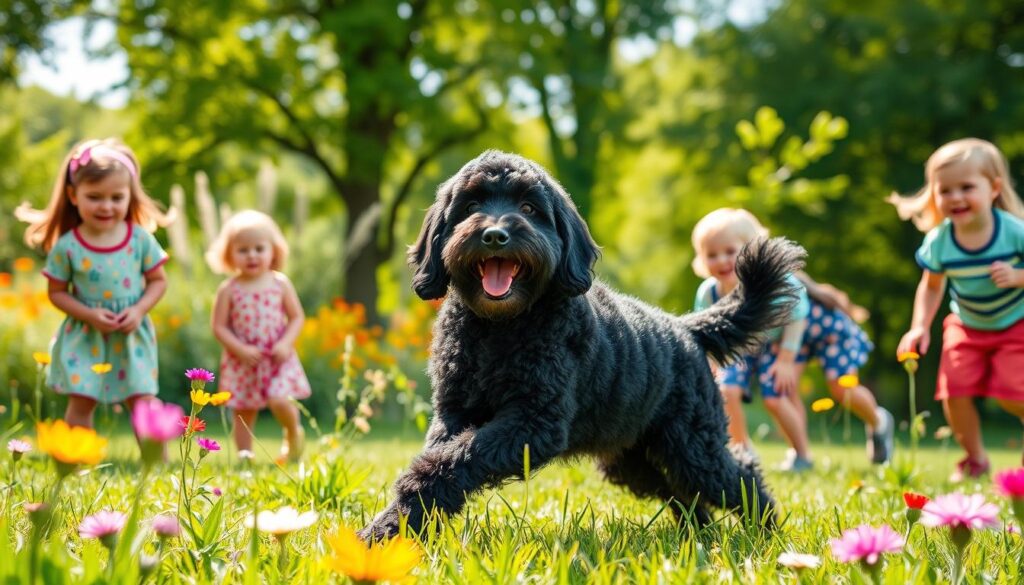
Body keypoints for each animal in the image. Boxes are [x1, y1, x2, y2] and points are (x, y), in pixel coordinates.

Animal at [362, 150, 806, 540]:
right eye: (470, 205)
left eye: (529, 207)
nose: (494, 235)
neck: (499, 331)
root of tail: (686, 328)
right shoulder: (455, 413)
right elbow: (446, 457)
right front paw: (390, 530)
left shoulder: (534, 421)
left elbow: (459, 457)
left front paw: (406, 505)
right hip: (633, 458)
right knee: (681, 493)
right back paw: (699, 534)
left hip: (694, 445)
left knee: (739, 474)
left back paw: (765, 529)